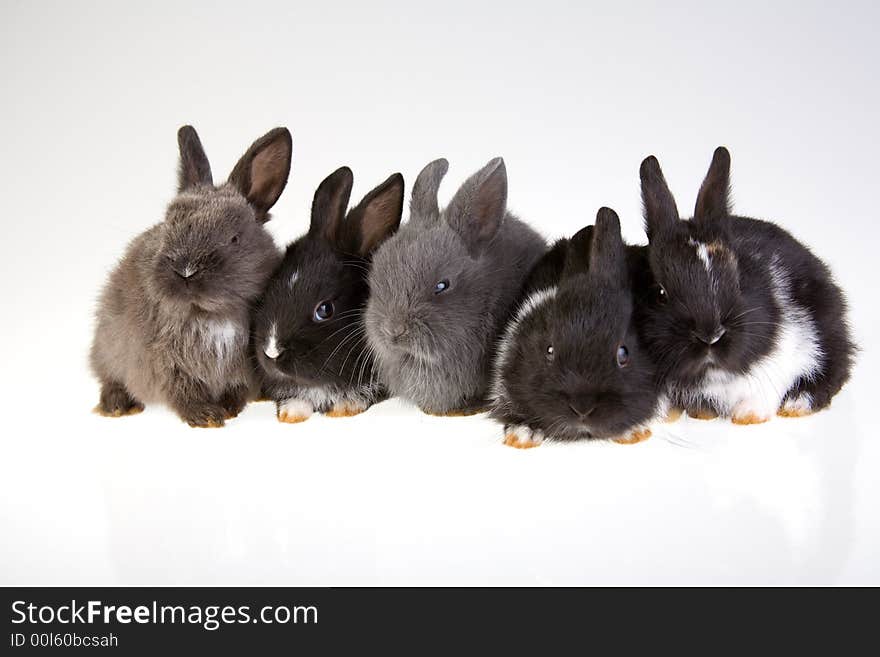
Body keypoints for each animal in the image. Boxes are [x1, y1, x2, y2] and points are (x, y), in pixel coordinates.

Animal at [92, 125, 292, 428]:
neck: (212, 316)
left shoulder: (243, 368)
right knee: (109, 377)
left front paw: (228, 408)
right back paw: (116, 406)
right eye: (168, 227)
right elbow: (185, 392)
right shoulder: (168, 365)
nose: (185, 270)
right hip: (109, 344)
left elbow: (235, 389)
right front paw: (206, 417)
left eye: (234, 239)